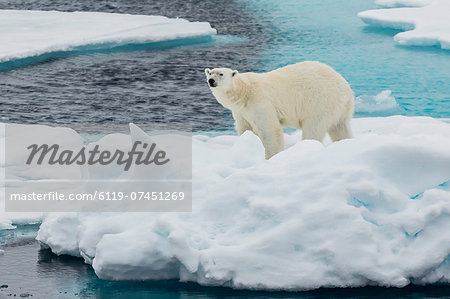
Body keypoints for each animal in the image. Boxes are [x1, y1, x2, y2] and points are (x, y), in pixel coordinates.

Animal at [205, 61, 356, 159]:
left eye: (221, 74)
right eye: (210, 73)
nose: (211, 80)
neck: (244, 92)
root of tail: (346, 89)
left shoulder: (260, 102)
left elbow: (270, 131)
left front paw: (270, 157)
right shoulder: (241, 112)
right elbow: (246, 130)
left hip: (319, 101)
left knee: (313, 128)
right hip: (340, 109)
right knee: (340, 128)